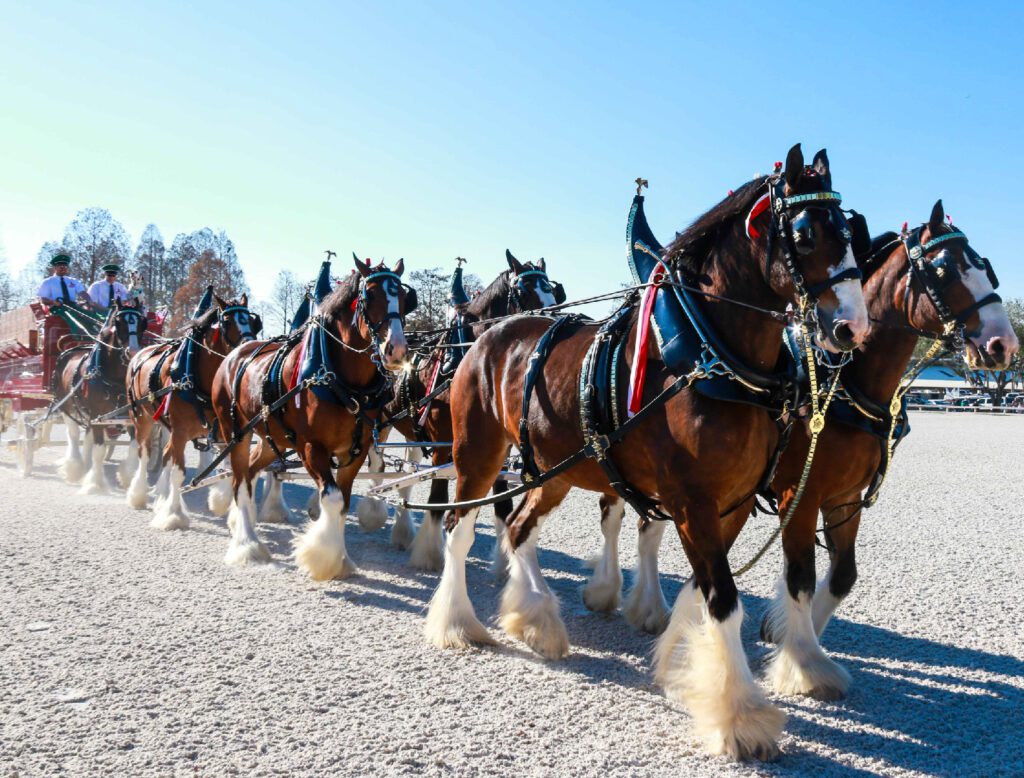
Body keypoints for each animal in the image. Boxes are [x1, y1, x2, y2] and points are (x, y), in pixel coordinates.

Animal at [51, 296, 146, 491]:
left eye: (142, 322)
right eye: (118, 322)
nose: (132, 352)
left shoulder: (129, 415)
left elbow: (133, 447)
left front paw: (126, 477)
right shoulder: (98, 415)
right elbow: (100, 450)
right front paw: (95, 483)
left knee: (87, 437)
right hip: (66, 406)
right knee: (73, 435)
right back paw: (75, 467)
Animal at [124, 290, 260, 528]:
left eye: (252, 321)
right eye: (227, 321)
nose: (250, 349)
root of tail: (139, 354)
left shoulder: (225, 431)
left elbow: (228, 469)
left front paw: (221, 502)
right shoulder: (180, 431)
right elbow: (178, 473)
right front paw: (173, 514)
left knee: (166, 454)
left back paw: (161, 496)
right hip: (142, 419)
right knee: (144, 452)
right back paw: (139, 495)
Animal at [211, 257, 411, 573]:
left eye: (404, 297)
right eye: (370, 296)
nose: (397, 350)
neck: (340, 379)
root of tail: (234, 355)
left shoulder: (354, 451)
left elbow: (343, 503)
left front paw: (340, 561)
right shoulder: (311, 447)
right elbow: (331, 499)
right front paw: (322, 558)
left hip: (271, 440)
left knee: (252, 472)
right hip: (236, 433)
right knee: (240, 481)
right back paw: (247, 544)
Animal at [352, 251, 569, 569]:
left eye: (553, 290)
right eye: (524, 291)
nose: (556, 323)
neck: (463, 356)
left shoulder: (496, 446)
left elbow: (501, 503)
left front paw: (503, 563)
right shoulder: (446, 443)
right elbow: (437, 499)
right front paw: (430, 555)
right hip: (379, 420)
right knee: (377, 464)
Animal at [425, 144, 872, 761]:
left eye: (853, 232)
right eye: (805, 234)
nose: (854, 327)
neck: (709, 357)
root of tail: (488, 334)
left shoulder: (731, 503)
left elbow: (703, 589)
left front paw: (674, 665)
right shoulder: (692, 502)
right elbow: (724, 598)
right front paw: (740, 715)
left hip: (554, 471)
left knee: (517, 529)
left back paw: (535, 619)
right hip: (478, 454)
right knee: (460, 529)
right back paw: (458, 623)